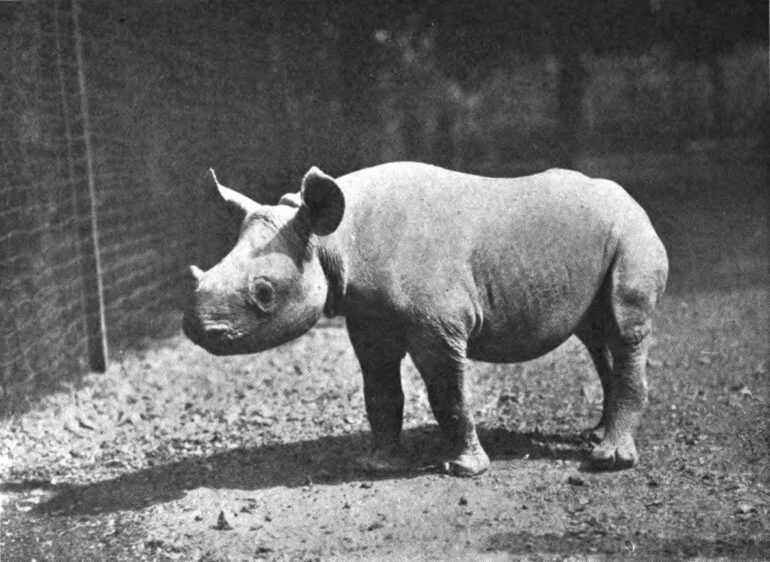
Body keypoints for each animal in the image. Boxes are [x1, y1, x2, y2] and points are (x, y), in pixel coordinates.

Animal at [183, 162, 668, 475]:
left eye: (264, 293)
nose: (196, 329)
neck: (332, 239)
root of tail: (633, 199)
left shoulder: (439, 327)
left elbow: (447, 394)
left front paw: (464, 469)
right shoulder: (369, 319)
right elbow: (380, 391)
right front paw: (377, 465)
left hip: (633, 233)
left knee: (624, 327)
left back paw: (608, 461)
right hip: (601, 240)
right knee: (596, 334)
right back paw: (596, 435)